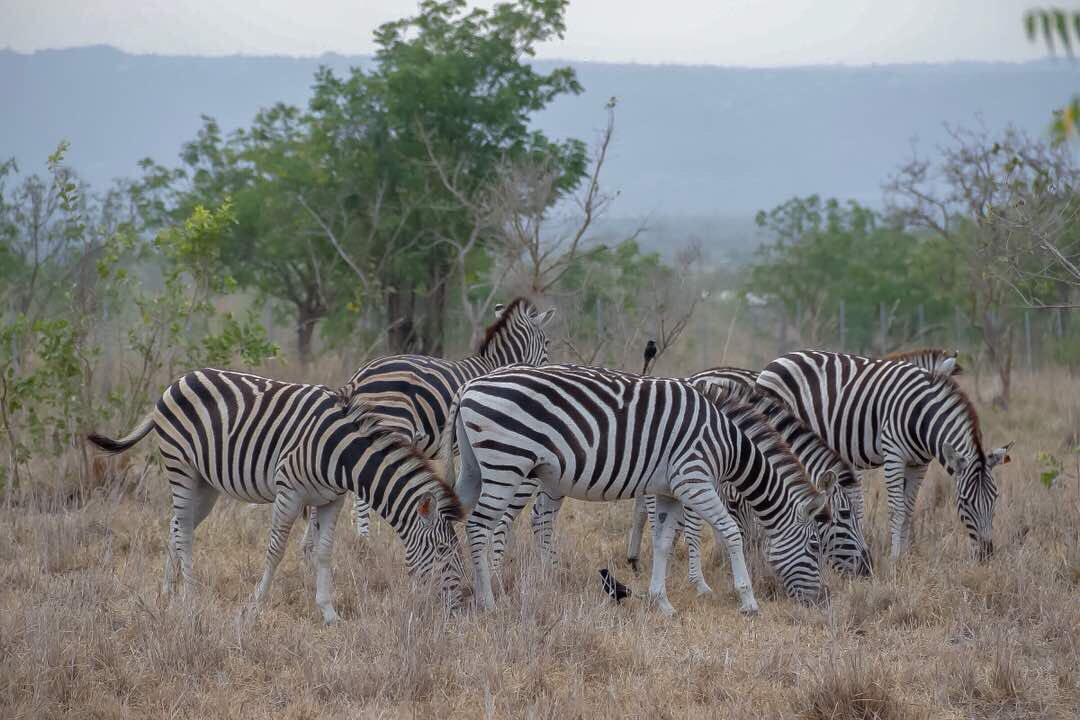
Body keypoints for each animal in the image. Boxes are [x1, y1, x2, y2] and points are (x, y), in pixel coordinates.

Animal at [86, 368, 465, 624]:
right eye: (442, 550)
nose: (463, 604)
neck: (343, 455)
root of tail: (178, 381)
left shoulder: (332, 500)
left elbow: (324, 553)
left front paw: (329, 612)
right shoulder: (290, 492)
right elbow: (276, 551)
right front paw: (255, 605)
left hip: (205, 483)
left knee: (178, 526)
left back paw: (168, 592)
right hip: (181, 467)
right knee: (185, 533)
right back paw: (189, 596)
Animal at [442, 364, 834, 615]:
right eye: (815, 545)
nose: (820, 601)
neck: (730, 443)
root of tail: (470, 385)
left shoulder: (670, 491)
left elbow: (662, 543)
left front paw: (662, 602)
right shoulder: (694, 481)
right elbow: (730, 531)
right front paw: (748, 601)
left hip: (477, 467)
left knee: (452, 518)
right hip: (507, 462)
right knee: (479, 525)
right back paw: (488, 601)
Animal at [756, 350, 1012, 561]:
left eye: (995, 498)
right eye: (964, 502)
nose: (986, 554)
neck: (921, 415)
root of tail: (777, 360)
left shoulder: (919, 463)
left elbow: (908, 509)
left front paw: (906, 555)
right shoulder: (893, 455)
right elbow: (896, 509)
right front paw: (895, 558)